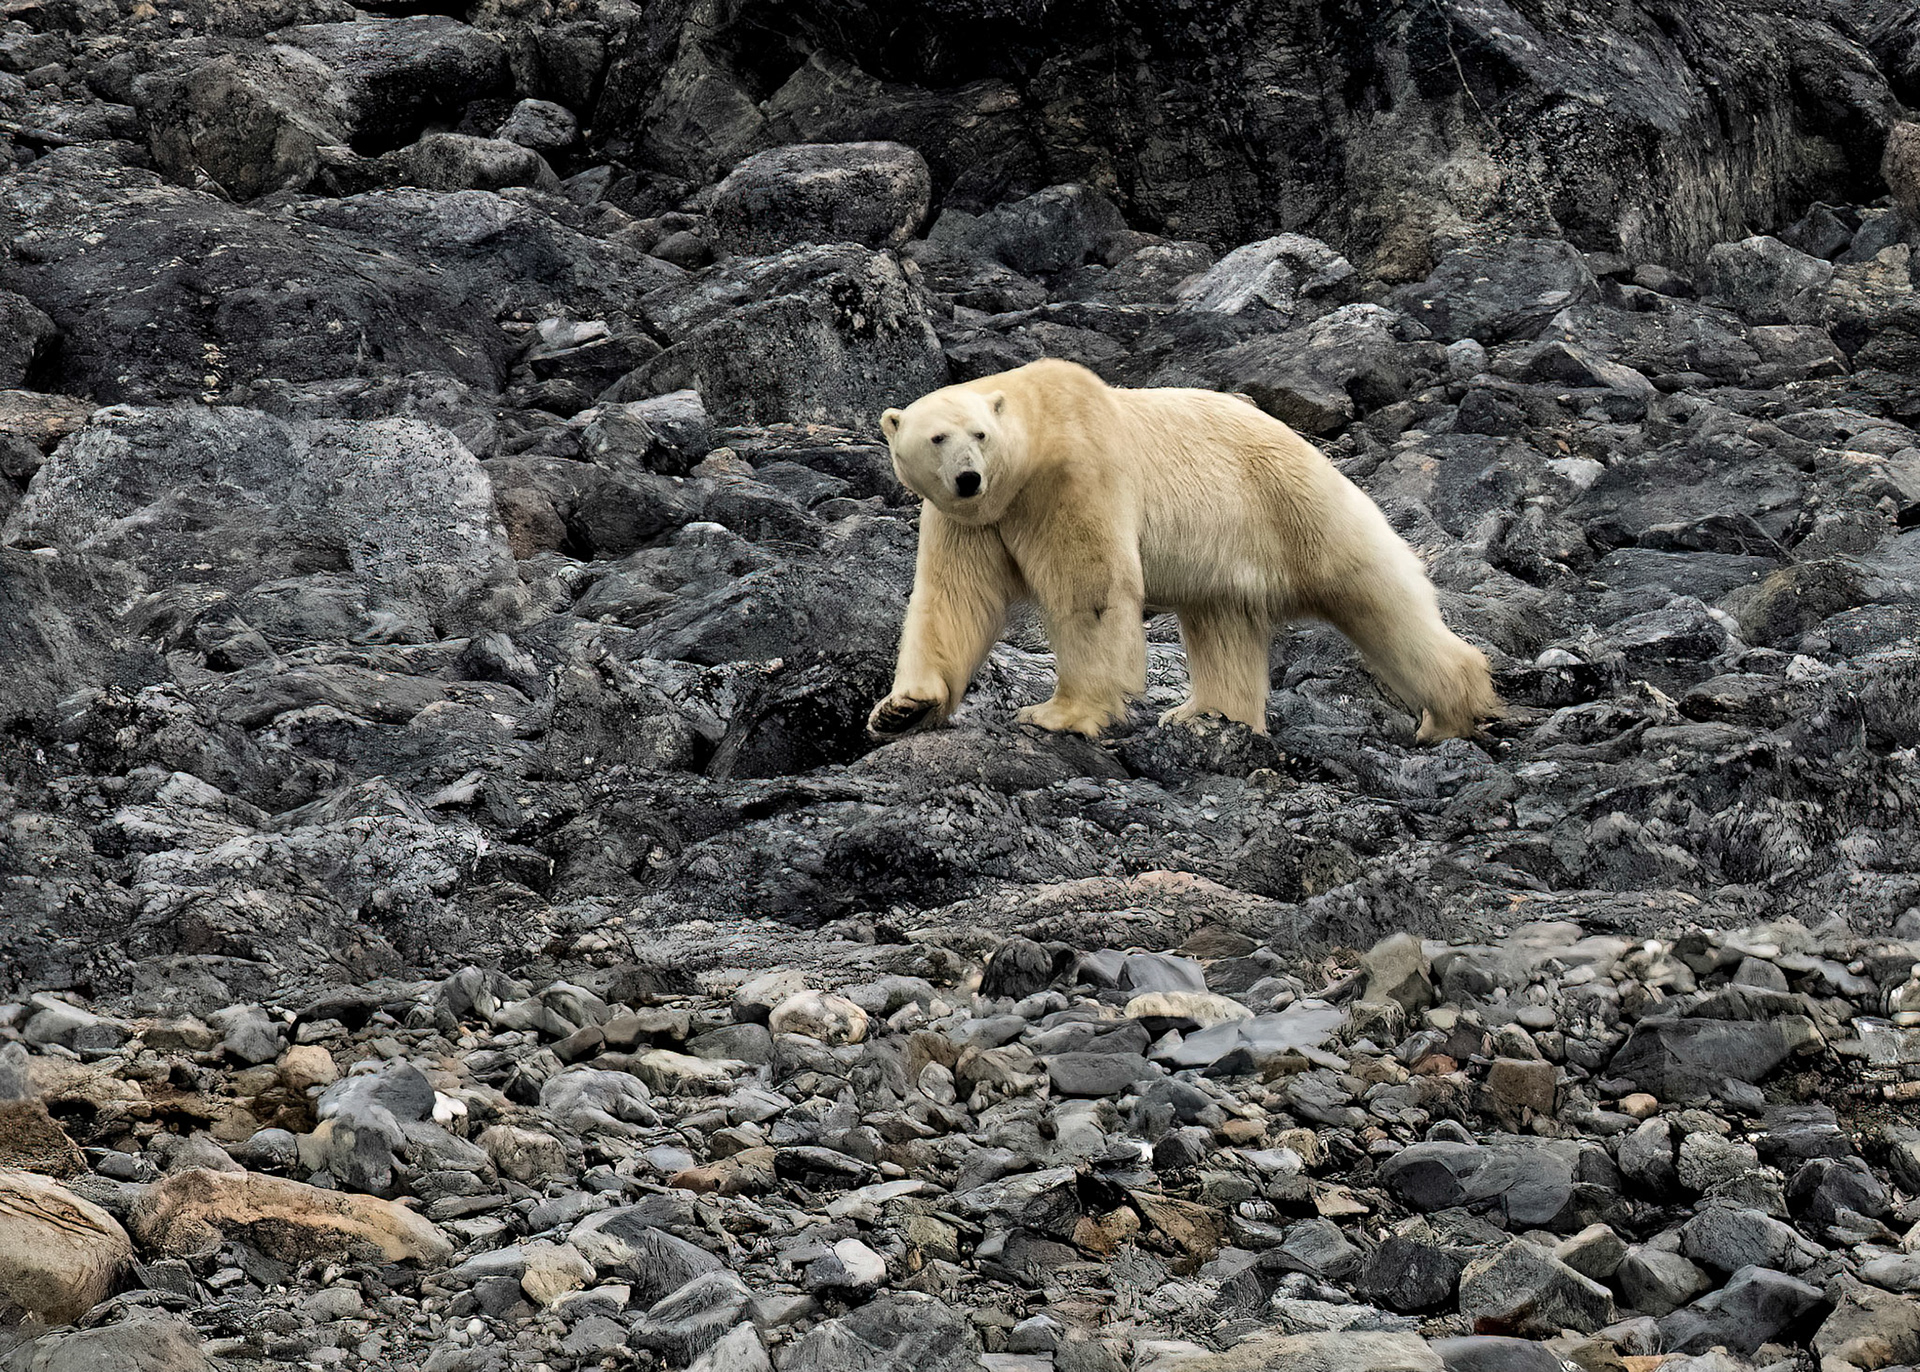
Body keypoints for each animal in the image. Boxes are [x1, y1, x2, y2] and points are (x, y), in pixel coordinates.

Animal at [867, 358, 1502, 742]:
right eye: (936, 437)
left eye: (979, 433)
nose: (968, 477)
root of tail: (1304, 443)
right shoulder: (967, 521)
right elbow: (952, 600)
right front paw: (902, 708)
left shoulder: (1074, 476)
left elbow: (1091, 590)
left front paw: (1060, 714)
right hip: (1231, 551)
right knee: (1222, 624)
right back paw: (1204, 714)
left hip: (1294, 505)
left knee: (1379, 598)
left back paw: (1450, 713)